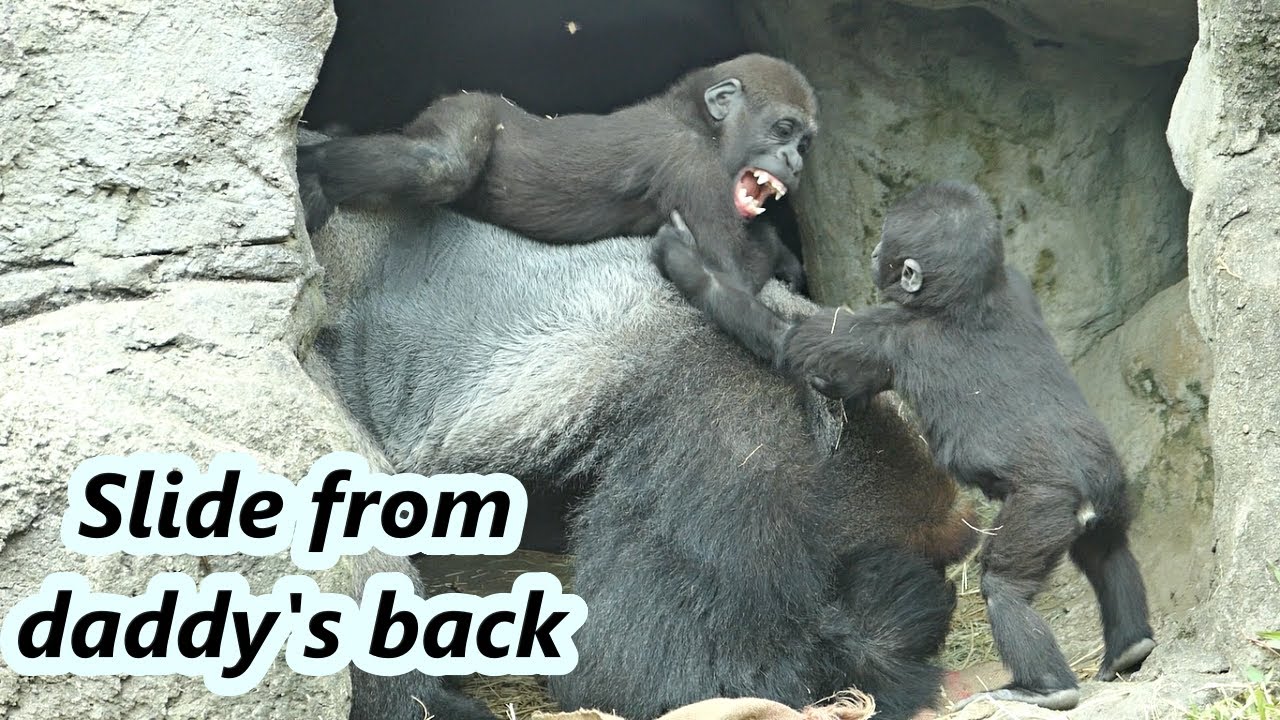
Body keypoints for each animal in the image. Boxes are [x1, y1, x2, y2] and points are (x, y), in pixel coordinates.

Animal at [297, 53, 817, 361]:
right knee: (440, 164)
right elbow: (733, 280)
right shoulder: (693, 164)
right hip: (468, 105)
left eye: (804, 144)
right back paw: (315, 170)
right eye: (783, 129)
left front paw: (781, 254)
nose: (794, 163)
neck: (694, 119)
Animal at [651, 180, 1157, 711]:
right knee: (1107, 552)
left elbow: (787, 341)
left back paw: (1044, 688)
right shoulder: (1015, 283)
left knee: (1006, 587)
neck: (966, 298)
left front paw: (683, 260)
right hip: (1109, 489)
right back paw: (1129, 647)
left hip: (1044, 504)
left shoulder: (884, 331)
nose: (875, 252)